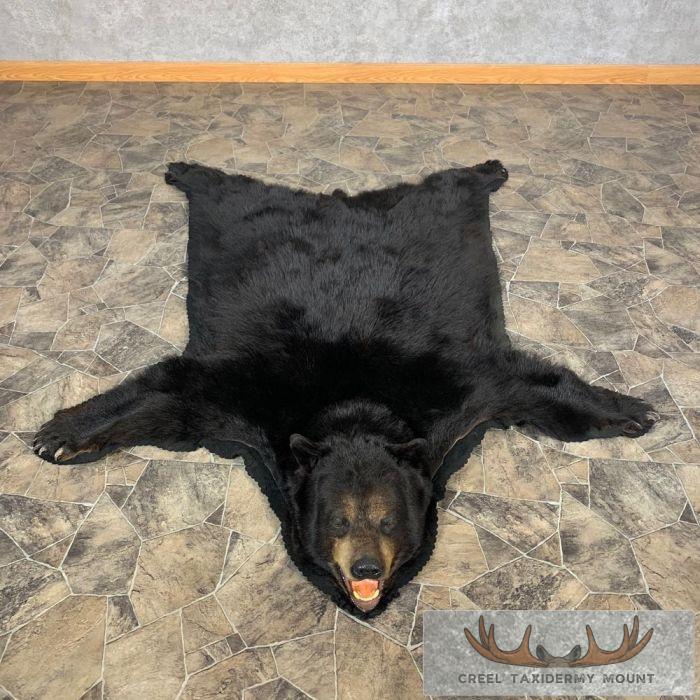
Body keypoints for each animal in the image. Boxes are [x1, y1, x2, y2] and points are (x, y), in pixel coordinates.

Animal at [33, 160, 657, 615]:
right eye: (337, 521)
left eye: (387, 520)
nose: (366, 569)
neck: (355, 406)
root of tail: (337, 201)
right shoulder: (252, 393)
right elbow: (169, 391)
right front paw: (60, 434)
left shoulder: (451, 390)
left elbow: (529, 384)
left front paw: (630, 410)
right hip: (237, 212)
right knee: (227, 187)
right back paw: (186, 170)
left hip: (433, 210)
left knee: (448, 185)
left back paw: (488, 169)